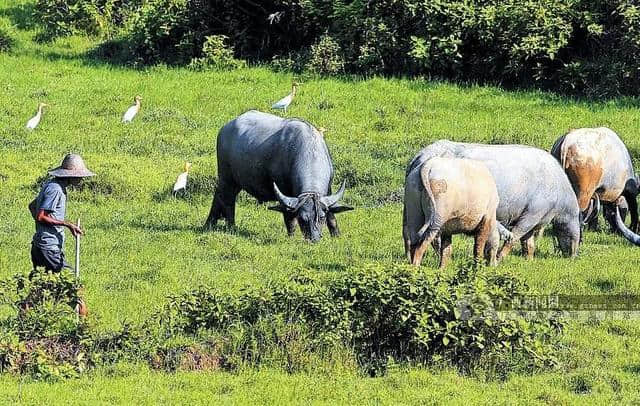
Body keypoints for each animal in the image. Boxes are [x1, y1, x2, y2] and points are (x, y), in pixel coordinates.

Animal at [204, 109, 352, 241]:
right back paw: (230, 227)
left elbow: (332, 217)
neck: (309, 150)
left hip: (234, 182)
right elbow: (289, 219)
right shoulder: (285, 193)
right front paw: (291, 237)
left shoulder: (328, 189)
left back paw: (210, 223)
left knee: (219, 195)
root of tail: (224, 129)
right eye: (302, 218)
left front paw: (336, 236)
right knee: (227, 200)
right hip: (226, 178)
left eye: (321, 217)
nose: (313, 239)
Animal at [408, 141, 584, 258]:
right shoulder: (531, 215)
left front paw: (528, 260)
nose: (572, 256)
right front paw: (499, 258)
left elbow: (528, 244)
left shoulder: (532, 220)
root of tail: (420, 156)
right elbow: (514, 237)